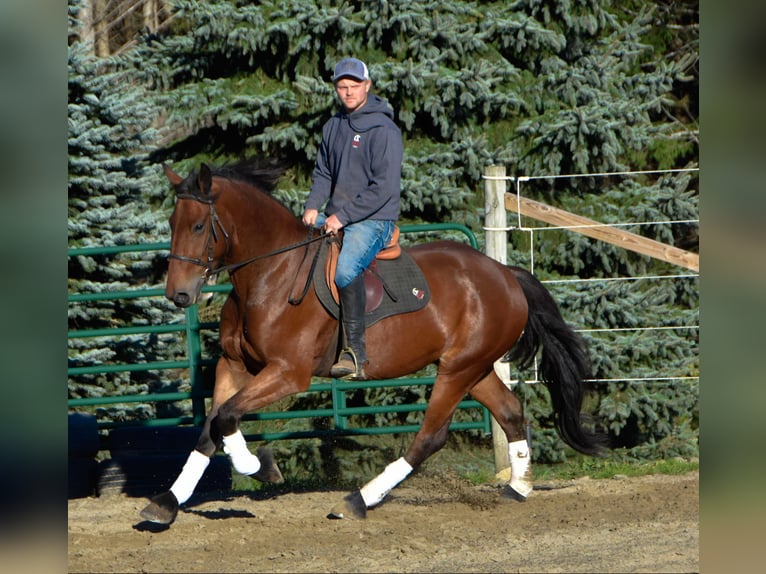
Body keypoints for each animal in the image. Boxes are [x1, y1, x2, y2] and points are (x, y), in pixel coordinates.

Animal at [139, 158, 606, 525]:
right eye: (171, 225)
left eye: (198, 225)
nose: (177, 295)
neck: (271, 274)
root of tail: (506, 275)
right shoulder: (235, 366)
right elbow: (211, 426)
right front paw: (166, 502)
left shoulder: (288, 374)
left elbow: (226, 418)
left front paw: (261, 466)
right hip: (474, 368)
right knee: (510, 413)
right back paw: (518, 489)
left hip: (458, 370)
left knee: (430, 436)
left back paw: (358, 500)